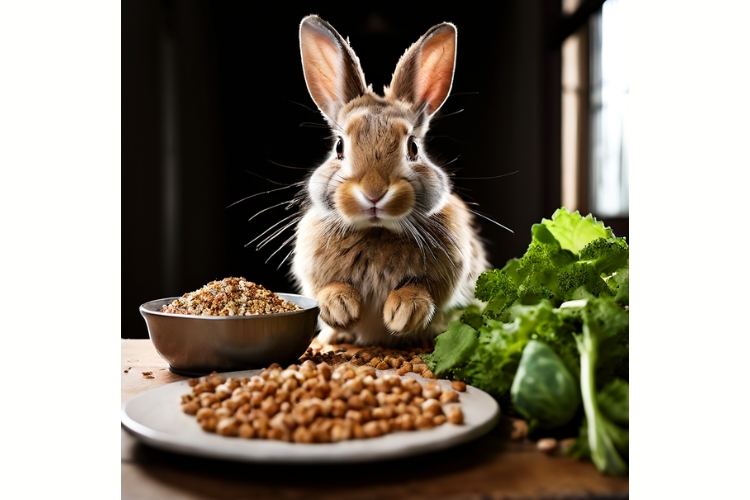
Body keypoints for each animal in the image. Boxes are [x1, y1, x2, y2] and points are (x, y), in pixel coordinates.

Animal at [291, 15, 490, 347]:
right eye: (339, 147)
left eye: (413, 148)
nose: (374, 193)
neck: (377, 231)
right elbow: (328, 288)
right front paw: (341, 308)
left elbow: (421, 290)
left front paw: (401, 313)